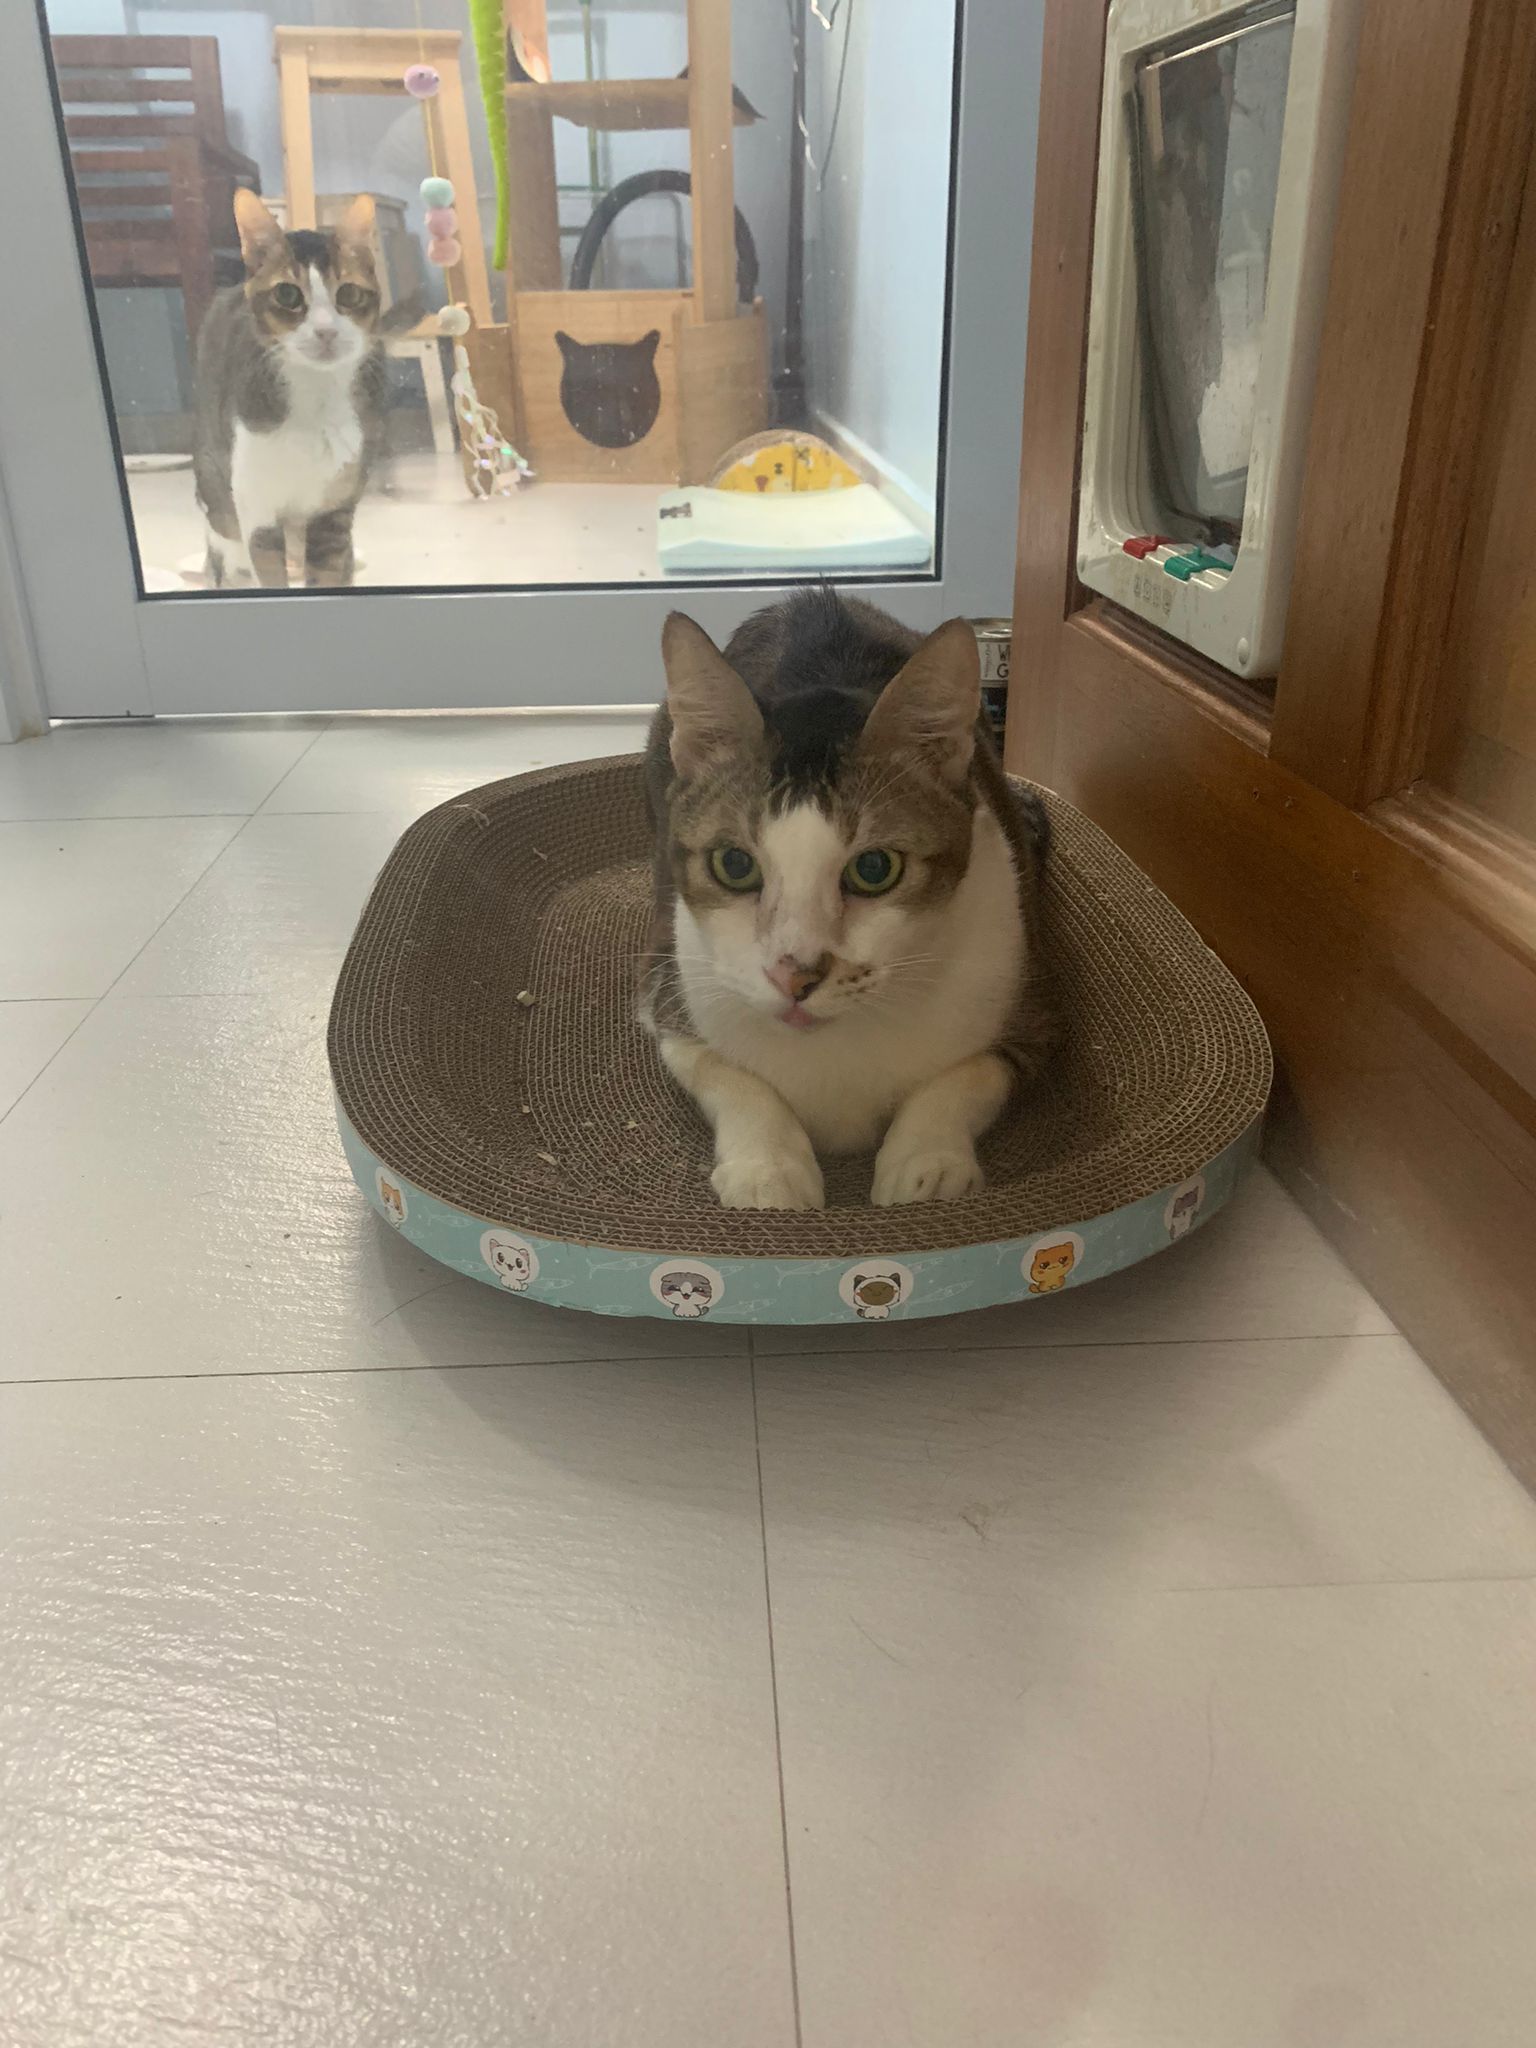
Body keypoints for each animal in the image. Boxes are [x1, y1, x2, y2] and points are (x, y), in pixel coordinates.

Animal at [193, 189, 386, 589]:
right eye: (287, 294)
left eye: (349, 293)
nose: (326, 331)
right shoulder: (257, 506)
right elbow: (268, 570)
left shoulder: (334, 509)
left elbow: (328, 571)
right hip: (216, 494)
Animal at [640, 588, 1057, 1211]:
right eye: (734, 865)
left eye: (874, 868)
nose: (794, 975)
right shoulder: (667, 986)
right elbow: (727, 1072)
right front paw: (768, 1167)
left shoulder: (1033, 1003)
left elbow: (969, 1074)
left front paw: (926, 1162)